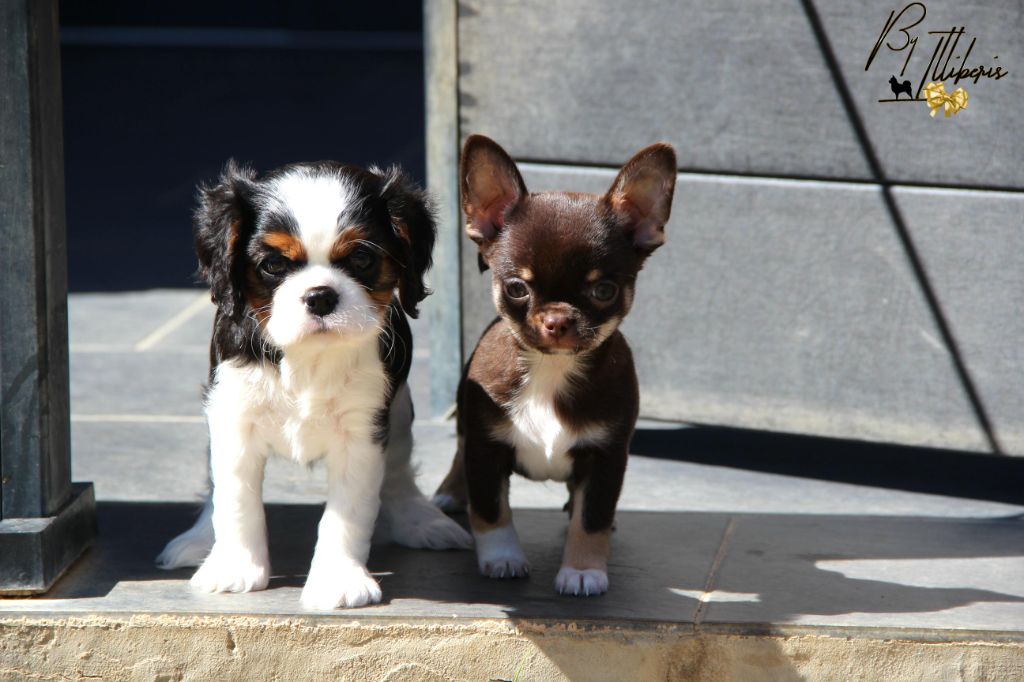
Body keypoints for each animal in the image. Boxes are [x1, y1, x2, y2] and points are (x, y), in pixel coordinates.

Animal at [156, 161, 471, 606]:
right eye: (273, 265)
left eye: (361, 257)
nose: (320, 296)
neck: (309, 354)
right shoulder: (233, 415)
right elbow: (234, 498)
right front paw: (234, 568)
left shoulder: (363, 431)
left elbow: (347, 512)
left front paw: (338, 580)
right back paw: (200, 542)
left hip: (399, 414)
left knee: (398, 473)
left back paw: (421, 520)